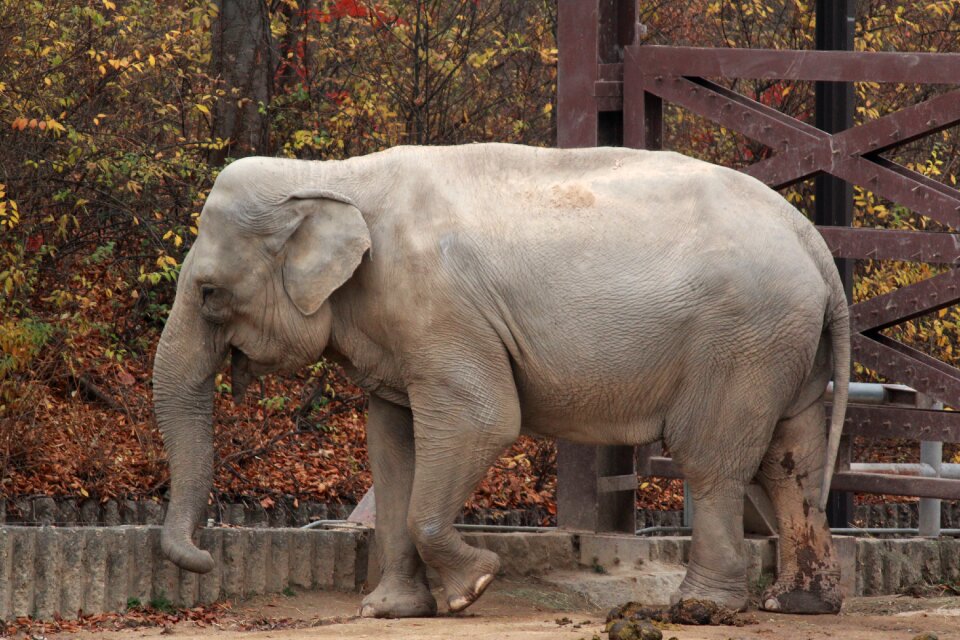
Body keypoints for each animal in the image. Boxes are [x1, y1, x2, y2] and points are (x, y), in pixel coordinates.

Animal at [154, 142, 852, 616]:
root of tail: (812, 239)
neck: (329, 174)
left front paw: (474, 587)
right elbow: (392, 446)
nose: (208, 555)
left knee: (712, 461)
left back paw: (700, 608)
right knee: (792, 460)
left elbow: (483, 418)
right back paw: (799, 604)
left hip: (742, 339)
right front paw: (389, 611)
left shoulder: (440, 308)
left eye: (210, 293)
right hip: (784, 341)